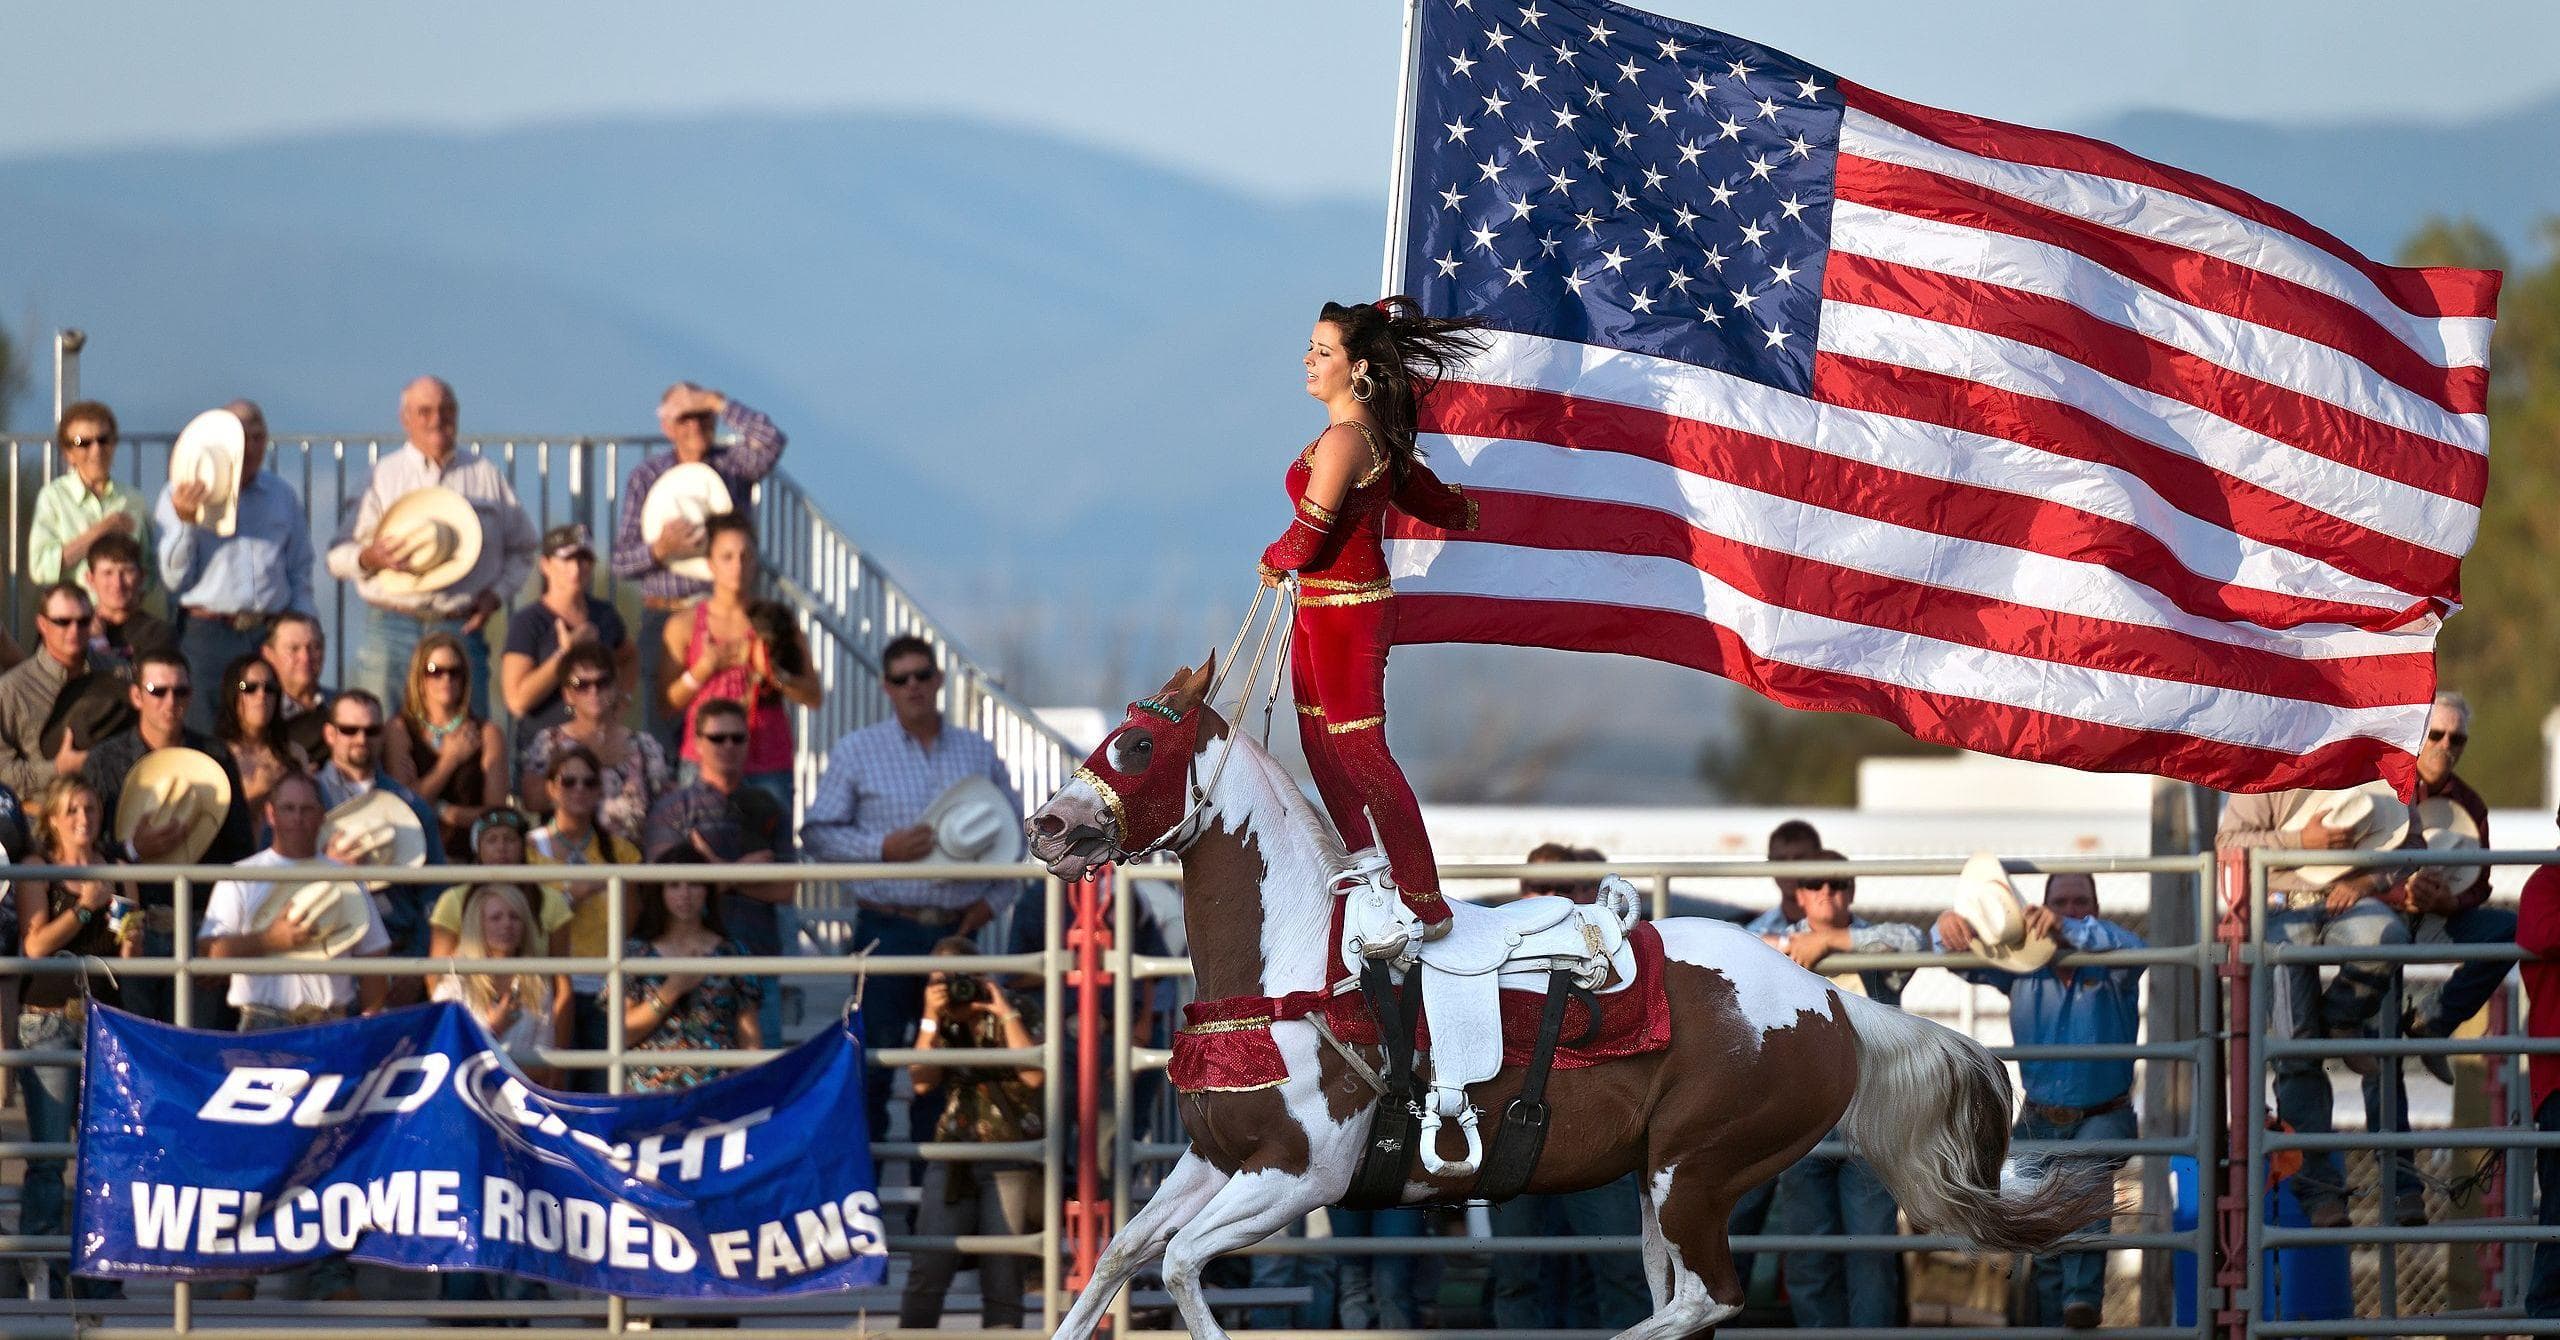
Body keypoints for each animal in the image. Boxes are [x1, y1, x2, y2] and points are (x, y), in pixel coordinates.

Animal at [1029, 661, 2109, 1340]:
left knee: (1707, 1298)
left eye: (1134, 745)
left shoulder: (1302, 1177)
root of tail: (1835, 1005)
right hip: (1661, 1185)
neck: (1297, 967)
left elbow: (1177, 1265)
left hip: (1695, 1174)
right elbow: (1123, 1251)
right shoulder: (1217, 1159)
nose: (1049, 825)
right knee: (1685, 1296)